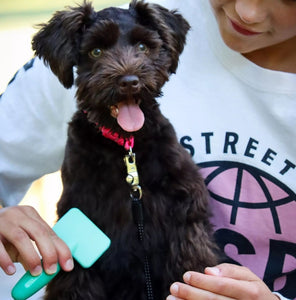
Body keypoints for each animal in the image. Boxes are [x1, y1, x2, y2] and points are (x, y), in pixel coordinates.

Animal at [32, 1, 219, 298]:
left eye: (143, 46)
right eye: (96, 51)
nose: (130, 81)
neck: (124, 146)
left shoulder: (185, 209)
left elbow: (192, 261)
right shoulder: (80, 210)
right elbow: (76, 281)